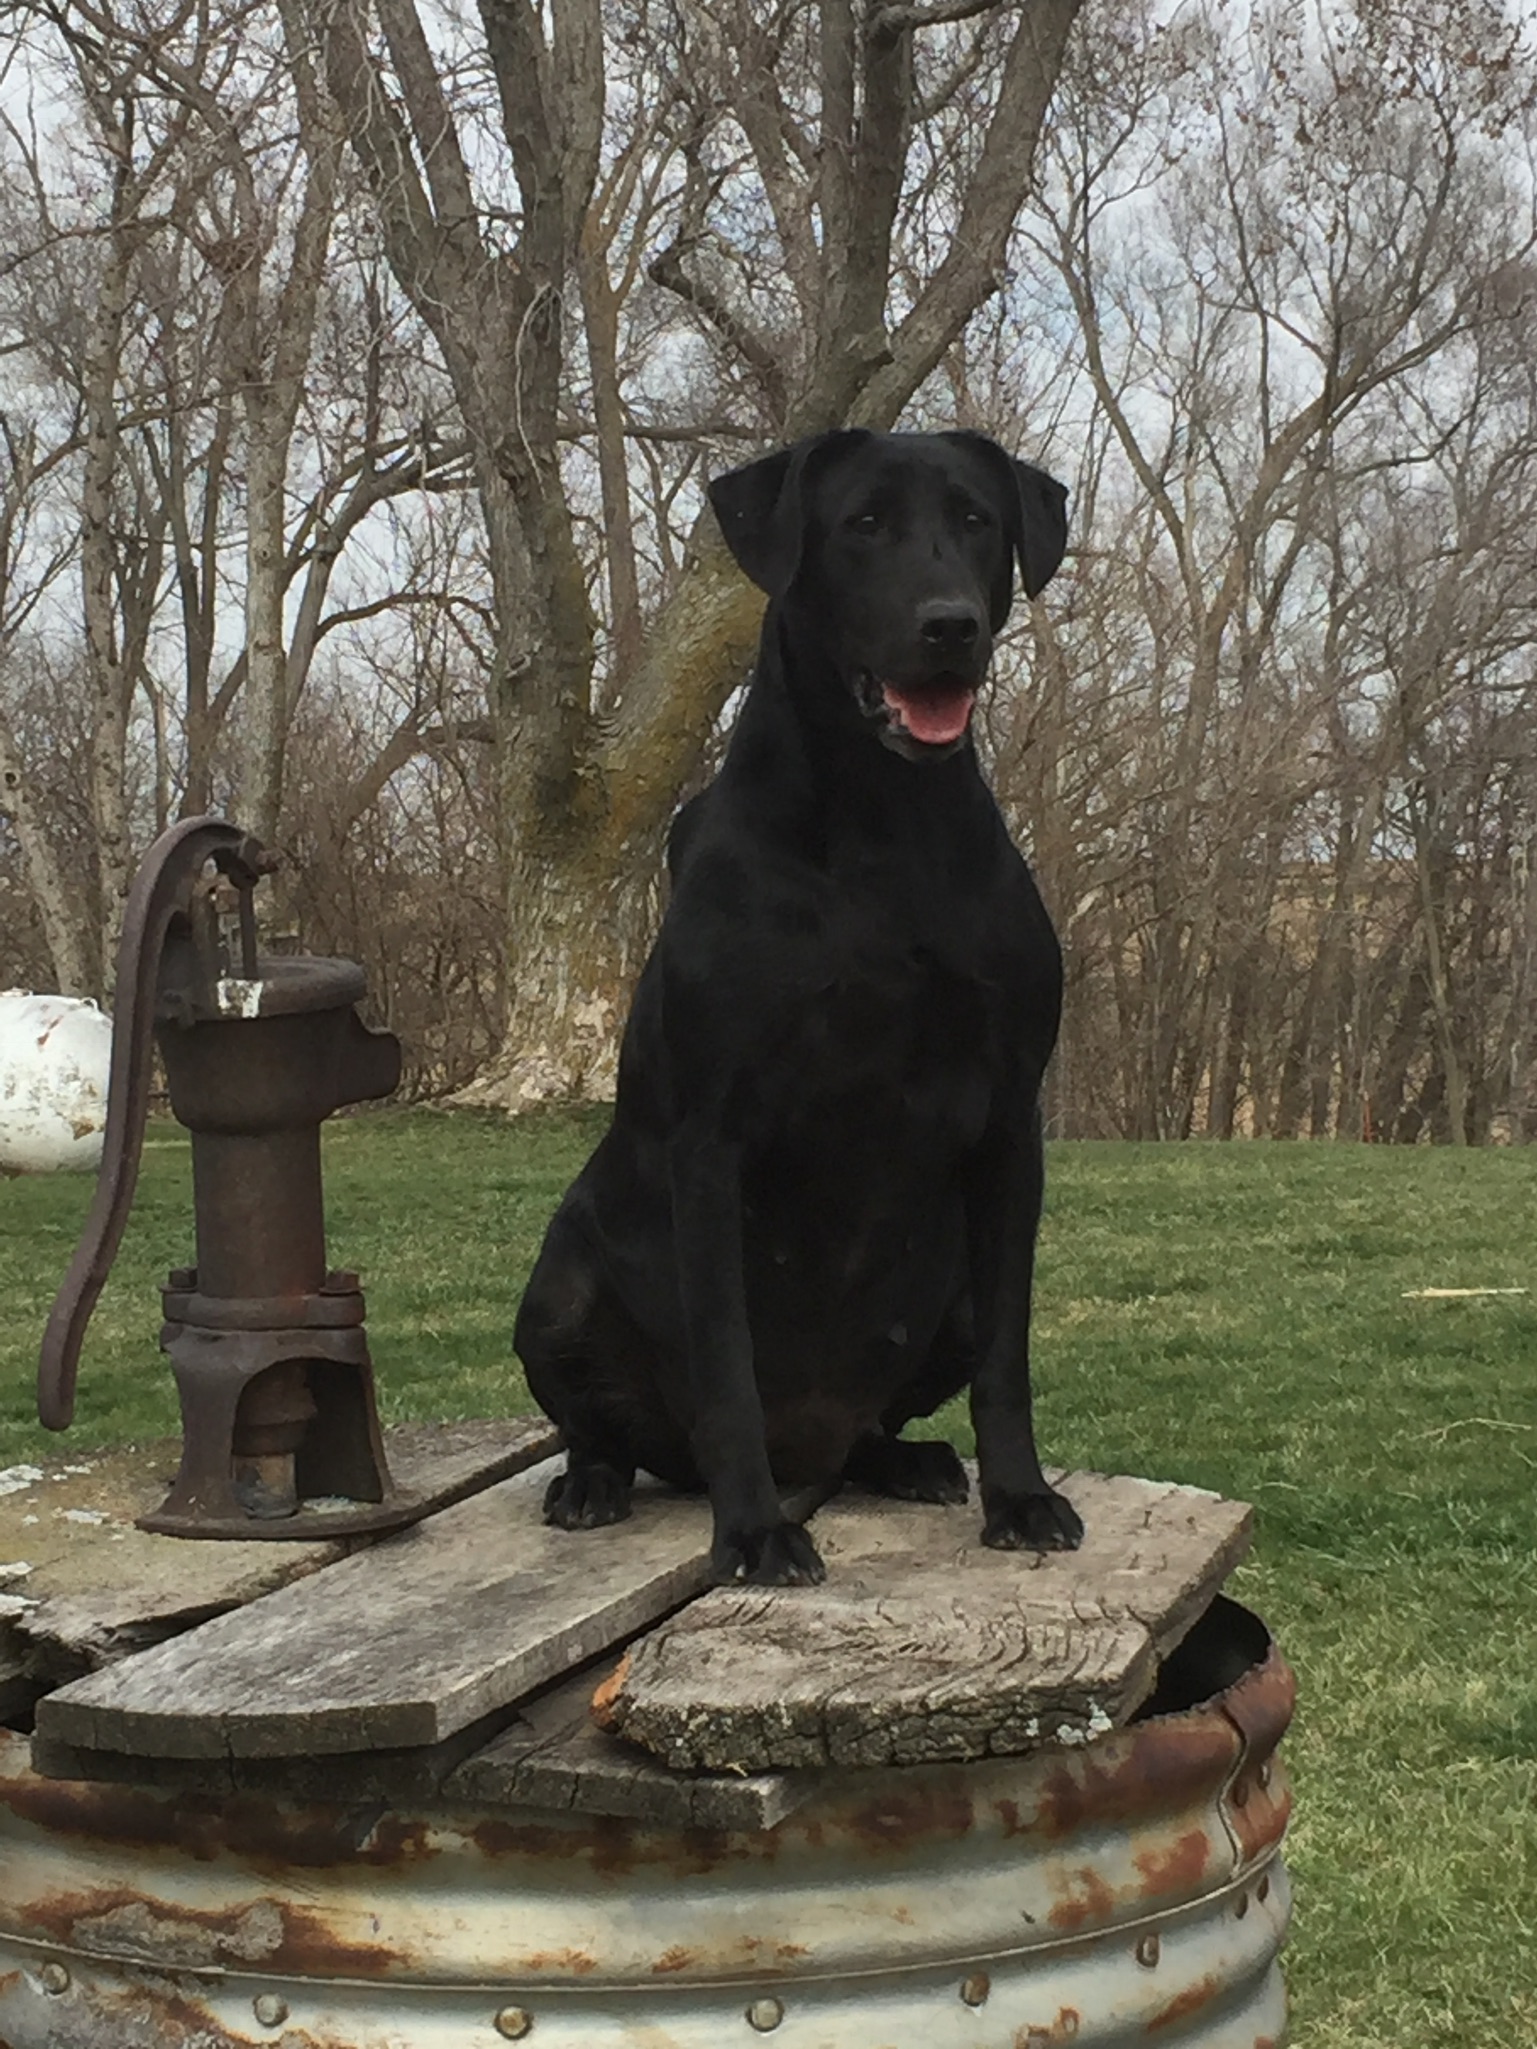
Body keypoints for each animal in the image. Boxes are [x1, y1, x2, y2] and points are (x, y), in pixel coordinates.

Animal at [518, 428, 1082, 1581]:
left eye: (976, 521)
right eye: (862, 524)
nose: (949, 624)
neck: (883, 825)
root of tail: (812, 1443)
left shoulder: (1011, 1124)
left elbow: (1008, 1357)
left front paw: (1020, 1495)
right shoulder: (711, 1140)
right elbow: (726, 1365)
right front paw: (751, 1531)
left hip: (946, 1292)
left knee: (878, 1424)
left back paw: (906, 1460)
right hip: (555, 1292)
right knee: (604, 1428)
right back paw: (594, 1484)